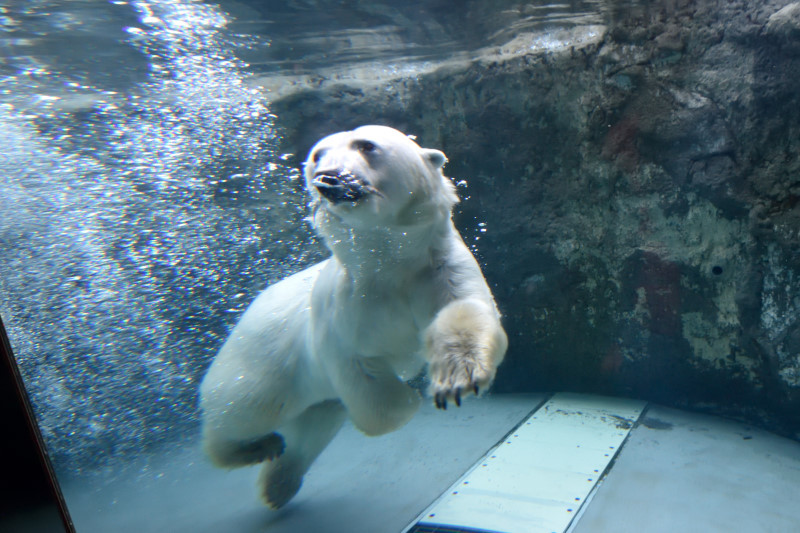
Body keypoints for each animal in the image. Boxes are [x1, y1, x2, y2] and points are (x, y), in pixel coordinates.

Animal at [198, 124, 506, 508]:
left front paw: (455, 381)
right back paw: (254, 447)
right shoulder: (347, 305)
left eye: (366, 145)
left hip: (306, 388)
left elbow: (464, 312)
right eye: (316, 154)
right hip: (263, 362)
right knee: (246, 408)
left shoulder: (436, 269)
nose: (328, 176)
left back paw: (279, 483)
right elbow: (364, 377)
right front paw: (410, 399)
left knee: (312, 426)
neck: (387, 261)